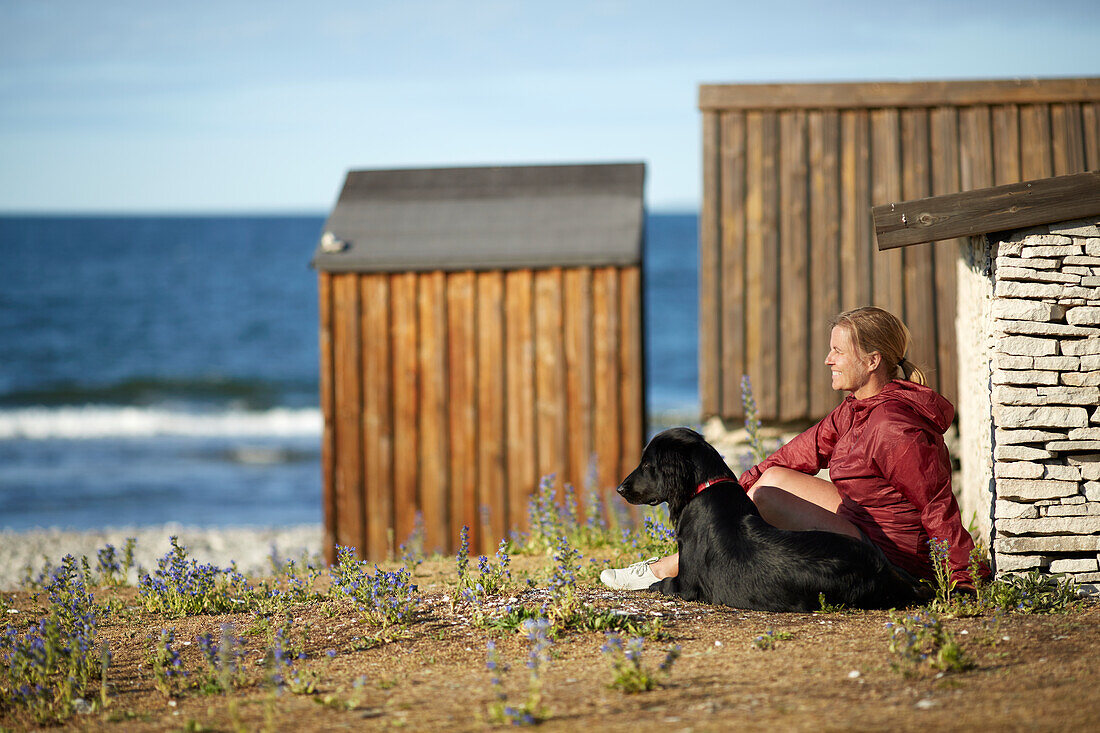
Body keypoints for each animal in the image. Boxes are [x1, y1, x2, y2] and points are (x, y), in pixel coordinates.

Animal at [616, 424, 932, 607]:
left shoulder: (686, 584)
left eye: (647, 465)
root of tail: (882, 567)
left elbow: (662, 584)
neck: (706, 488)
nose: (619, 489)